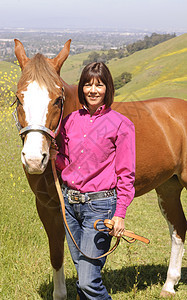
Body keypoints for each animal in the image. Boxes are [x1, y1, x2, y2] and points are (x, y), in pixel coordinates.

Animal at [13, 38, 186, 298]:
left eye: (57, 100)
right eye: (18, 98)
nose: (34, 159)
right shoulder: (47, 205)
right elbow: (58, 254)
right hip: (169, 187)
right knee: (178, 228)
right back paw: (169, 285)